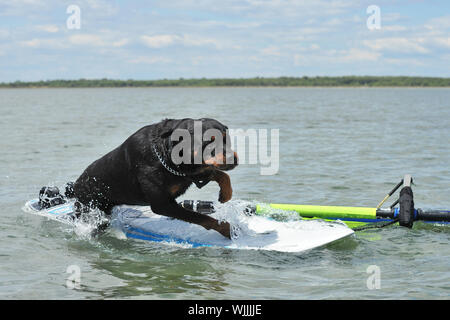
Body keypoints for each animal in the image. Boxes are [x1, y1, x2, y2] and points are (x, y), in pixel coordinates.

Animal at [72, 117, 237, 238]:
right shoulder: (162, 204)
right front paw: (227, 229)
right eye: (208, 142)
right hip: (90, 209)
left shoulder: (190, 173)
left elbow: (221, 174)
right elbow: (201, 218)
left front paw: (226, 194)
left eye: (227, 139)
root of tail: (75, 186)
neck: (168, 153)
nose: (234, 158)